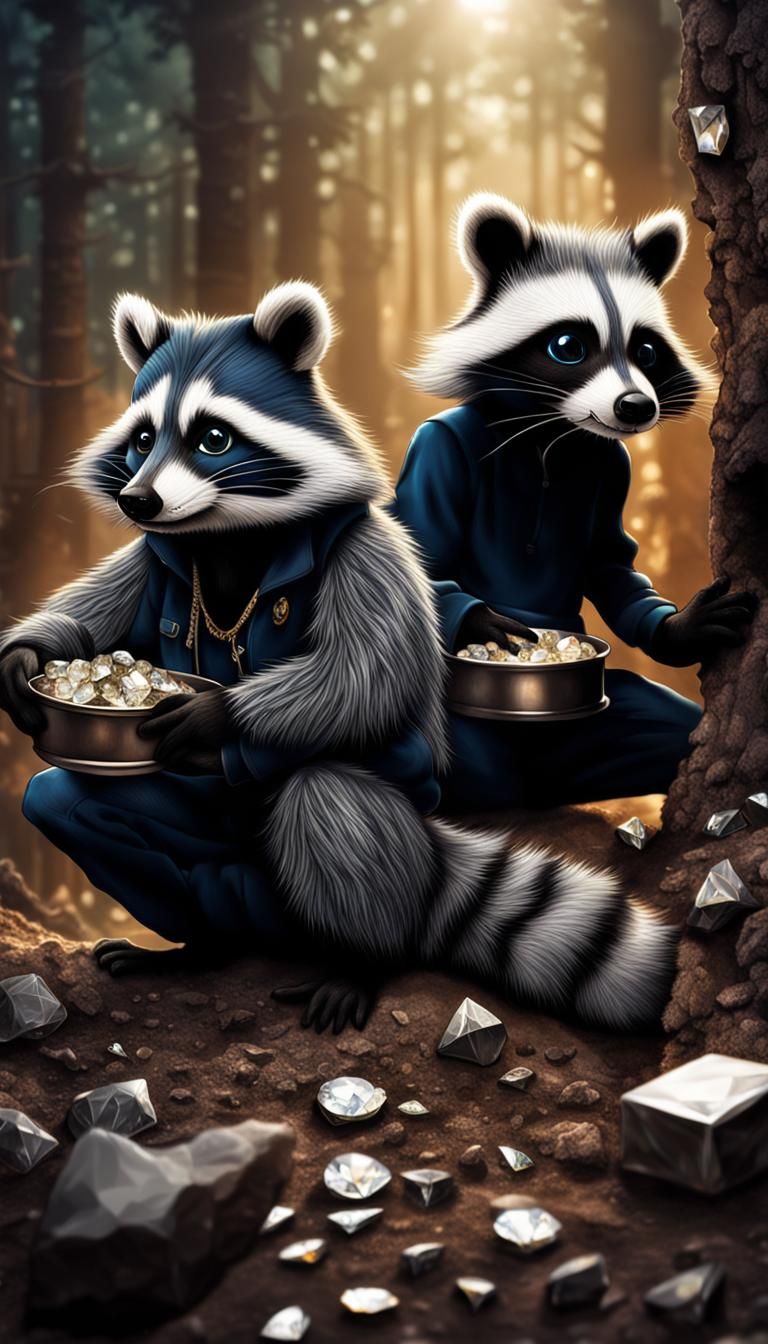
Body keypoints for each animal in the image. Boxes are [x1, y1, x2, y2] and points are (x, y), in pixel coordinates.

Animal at [0, 282, 676, 1032]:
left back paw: (363, 957)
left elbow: (368, 674)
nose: (137, 498)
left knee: (327, 799)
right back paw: (200, 941)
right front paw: (28, 654)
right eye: (143, 439)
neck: (231, 536)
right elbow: (101, 612)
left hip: (382, 838)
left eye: (213, 438)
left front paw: (215, 716)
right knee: (68, 801)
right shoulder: (161, 558)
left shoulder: (367, 550)